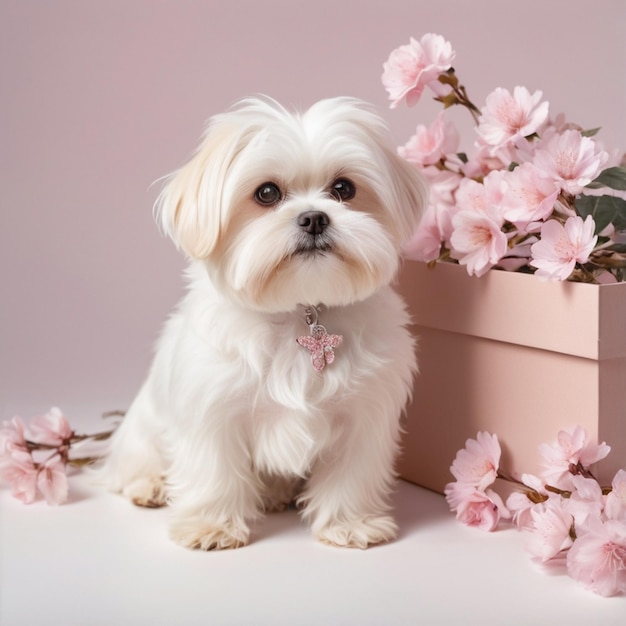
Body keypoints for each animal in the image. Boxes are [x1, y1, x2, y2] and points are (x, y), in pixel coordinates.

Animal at [101, 95, 424, 548]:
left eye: (344, 188)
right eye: (267, 193)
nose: (314, 217)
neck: (298, 310)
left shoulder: (364, 412)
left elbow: (350, 474)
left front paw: (349, 523)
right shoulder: (213, 410)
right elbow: (213, 469)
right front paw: (212, 525)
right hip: (143, 430)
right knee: (133, 464)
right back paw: (150, 485)